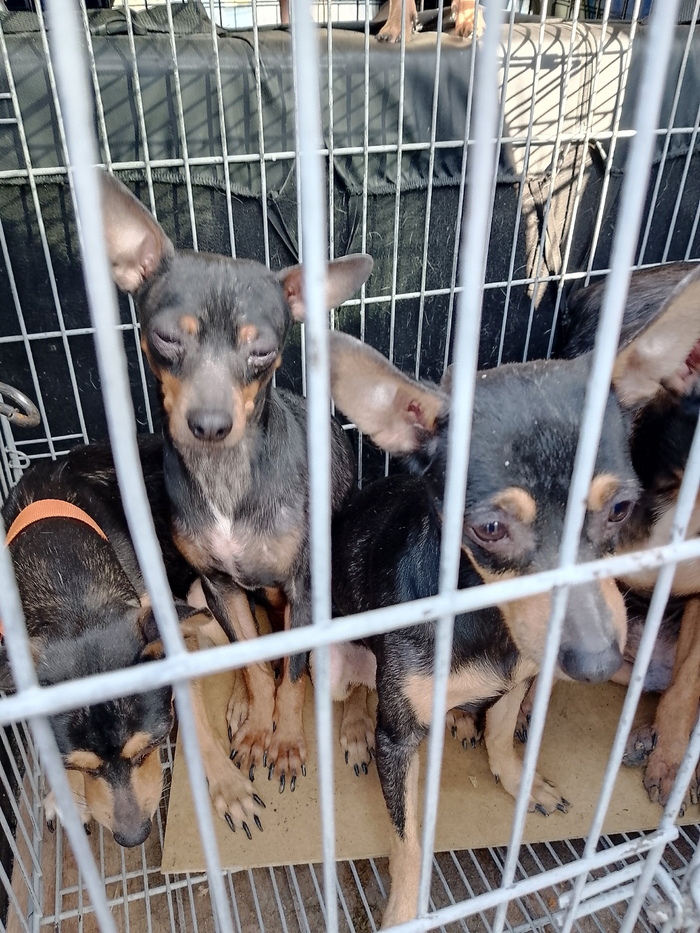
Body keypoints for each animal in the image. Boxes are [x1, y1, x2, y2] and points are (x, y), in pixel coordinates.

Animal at [0, 438, 263, 845]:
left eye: (150, 749)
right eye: (82, 766)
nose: (133, 837)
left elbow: (196, 720)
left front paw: (227, 787)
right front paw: (65, 796)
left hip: (205, 594)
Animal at [99, 172, 372, 799]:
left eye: (263, 350)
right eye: (166, 338)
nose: (209, 424)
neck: (225, 480)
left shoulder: (303, 587)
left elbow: (293, 674)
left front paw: (288, 742)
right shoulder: (219, 585)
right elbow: (254, 661)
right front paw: (256, 728)